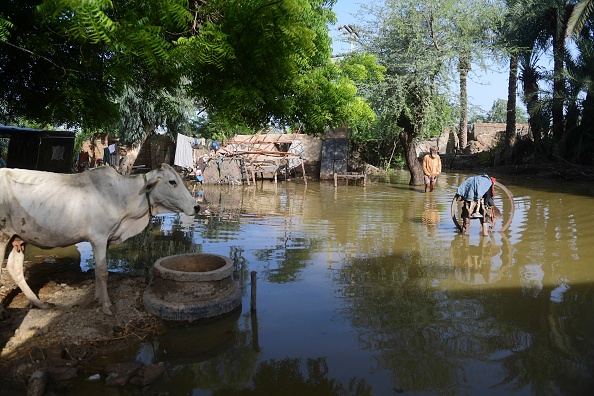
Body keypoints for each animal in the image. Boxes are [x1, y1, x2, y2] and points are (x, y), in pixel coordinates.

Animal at [0, 164, 200, 316]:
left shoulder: (104, 240)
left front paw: (97, 298)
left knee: (15, 268)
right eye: (172, 182)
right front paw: (106, 306)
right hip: (2, 237)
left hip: (18, 238)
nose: (196, 207)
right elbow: (103, 272)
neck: (122, 197)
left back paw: (40, 304)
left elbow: (97, 271)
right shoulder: (99, 238)